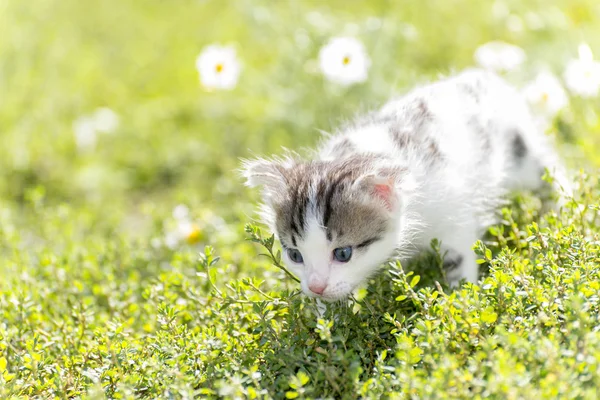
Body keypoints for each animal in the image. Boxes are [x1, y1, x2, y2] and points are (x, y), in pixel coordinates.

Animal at [241, 69, 568, 300]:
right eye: (295, 255)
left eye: (343, 253)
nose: (316, 287)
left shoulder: (453, 214)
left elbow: (458, 259)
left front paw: (460, 300)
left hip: (522, 154)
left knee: (551, 174)